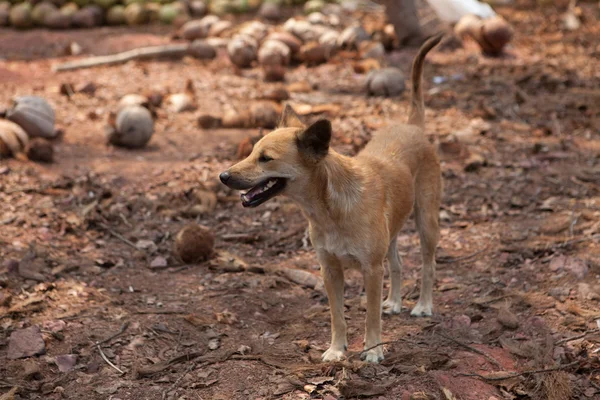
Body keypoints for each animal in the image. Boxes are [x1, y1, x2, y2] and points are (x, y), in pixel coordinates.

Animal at [218, 34, 442, 364]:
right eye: (251, 153)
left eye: (265, 158)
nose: (223, 176)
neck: (329, 209)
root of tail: (412, 126)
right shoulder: (330, 270)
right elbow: (337, 316)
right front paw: (337, 350)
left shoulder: (371, 270)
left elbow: (370, 316)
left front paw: (373, 350)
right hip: (391, 234)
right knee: (398, 263)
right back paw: (394, 301)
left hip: (426, 222)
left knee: (428, 265)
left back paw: (423, 305)